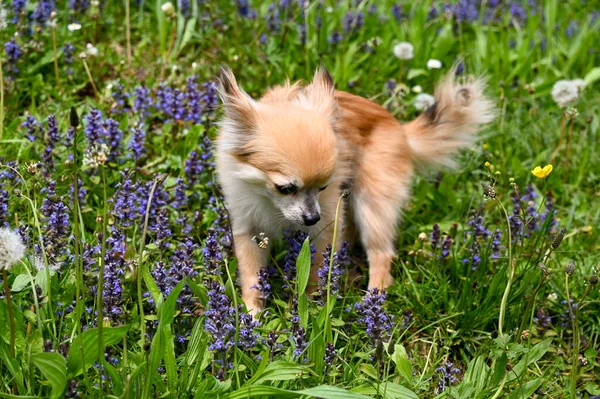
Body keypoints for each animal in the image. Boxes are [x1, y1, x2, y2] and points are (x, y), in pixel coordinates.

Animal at [214, 66, 492, 316]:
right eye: (285, 188)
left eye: (323, 187)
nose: (312, 218)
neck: (271, 202)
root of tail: (402, 131)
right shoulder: (248, 227)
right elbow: (251, 275)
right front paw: (251, 317)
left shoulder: (324, 229)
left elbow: (316, 271)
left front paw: (311, 310)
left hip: (372, 206)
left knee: (381, 254)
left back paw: (372, 300)